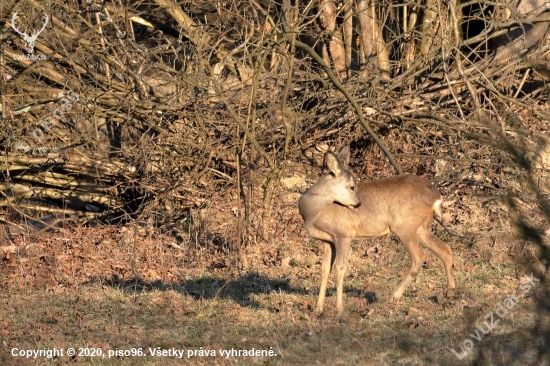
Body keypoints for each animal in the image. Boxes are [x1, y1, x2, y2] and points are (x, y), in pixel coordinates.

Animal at [300, 145, 454, 312]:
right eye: (352, 186)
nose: (358, 204)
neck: (314, 213)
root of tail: (436, 197)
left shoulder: (344, 234)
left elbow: (339, 268)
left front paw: (339, 308)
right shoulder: (327, 241)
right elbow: (324, 270)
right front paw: (318, 308)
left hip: (404, 226)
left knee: (420, 256)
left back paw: (394, 297)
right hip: (420, 228)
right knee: (445, 249)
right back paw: (451, 292)